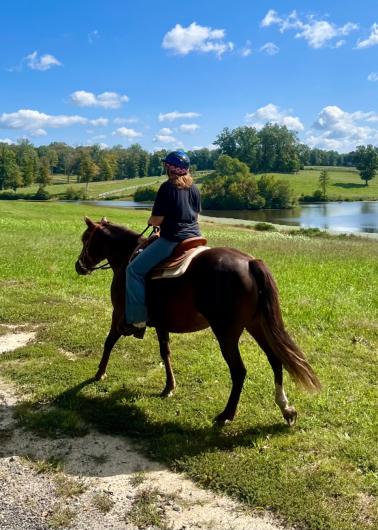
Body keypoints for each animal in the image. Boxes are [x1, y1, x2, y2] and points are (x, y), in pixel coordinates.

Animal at [75, 214, 320, 424]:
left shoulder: (119, 314)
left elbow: (109, 341)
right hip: (256, 325)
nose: (79, 266)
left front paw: (99, 373)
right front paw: (169, 387)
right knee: (275, 360)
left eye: (85, 239)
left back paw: (226, 415)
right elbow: (165, 352)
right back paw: (286, 408)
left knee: (239, 371)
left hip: (226, 333)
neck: (127, 257)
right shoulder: (161, 323)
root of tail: (250, 263)